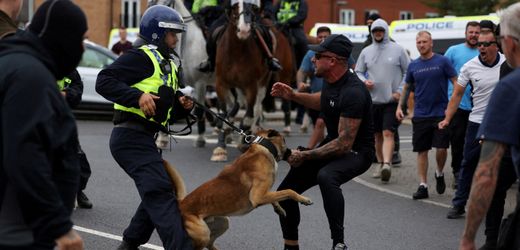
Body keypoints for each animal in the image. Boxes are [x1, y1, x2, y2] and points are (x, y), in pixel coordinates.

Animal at [164, 129, 312, 250]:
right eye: (284, 140)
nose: (294, 151)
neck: (263, 148)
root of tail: (181, 204)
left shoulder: (264, 194)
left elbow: (276, 195)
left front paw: (279, 208)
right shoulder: (258, 196)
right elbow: (288, 191)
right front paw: (303, 199)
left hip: (223, 222)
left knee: (210, 244)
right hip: (202, 233)